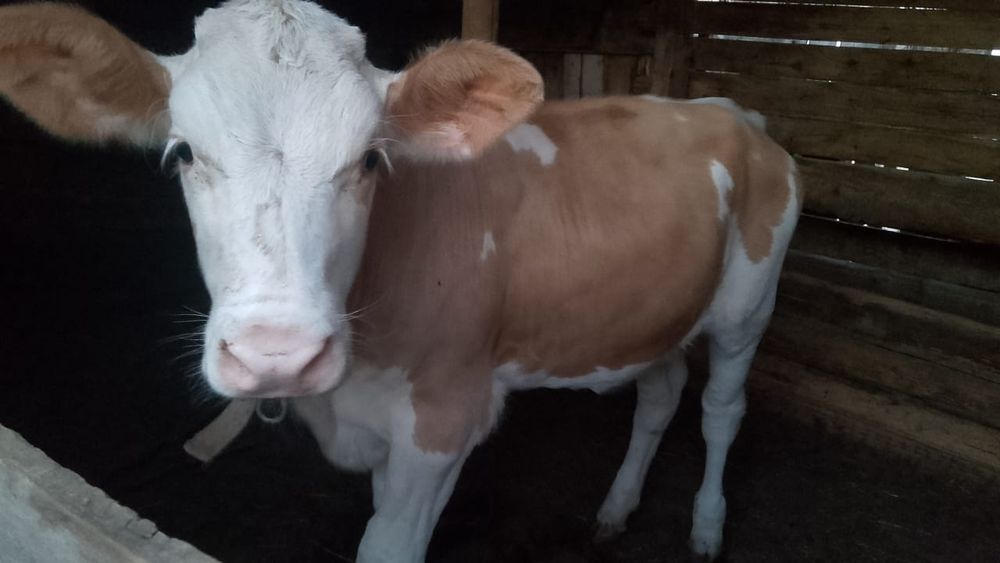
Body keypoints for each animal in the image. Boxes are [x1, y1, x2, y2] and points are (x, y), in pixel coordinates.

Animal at [0, 1, 801, 561]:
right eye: (183, 153)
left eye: (370, 160)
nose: (276, 354)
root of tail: (732, 112)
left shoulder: (443, 419)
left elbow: (389, 544)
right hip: (658, 310)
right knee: (659, 395)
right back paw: (615, 509)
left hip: (748, 308)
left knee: (721, 411)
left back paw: (706, 526)